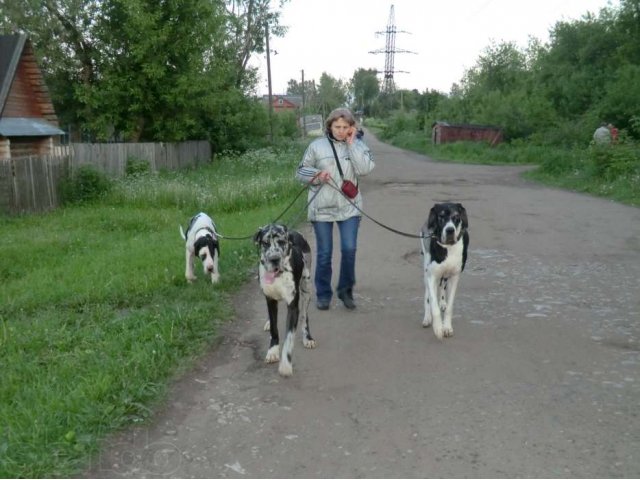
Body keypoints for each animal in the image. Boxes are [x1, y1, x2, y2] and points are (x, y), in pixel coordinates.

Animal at [254, 223, 316, 376]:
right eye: (265, 243)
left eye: (282, 242)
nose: (274, 259)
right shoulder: (270, 299)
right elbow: (274, 329)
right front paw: (272, 351)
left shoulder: (293, 306)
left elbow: (289, 337)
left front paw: (286, 364)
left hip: (306, 288)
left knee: (305, 316)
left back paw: (307, 337)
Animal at [420, 204, 470, 340]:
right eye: (441, 216)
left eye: (456, 217)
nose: (450, 230)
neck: (448, 247)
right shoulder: (432, 276)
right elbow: (433, 304)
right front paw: (438, 328)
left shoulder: (455, 276)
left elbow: (449, 307)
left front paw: (447, 327)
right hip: (426, 269)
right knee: (427, 294)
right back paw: (427, 317)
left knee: (443, 284)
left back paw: (442, 302)